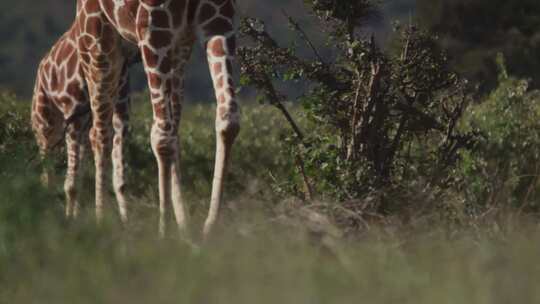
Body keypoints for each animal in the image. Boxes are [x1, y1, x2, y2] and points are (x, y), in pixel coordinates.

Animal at [31, 20, 135, 221]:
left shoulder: (120, 111)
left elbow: (119, 180)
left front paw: (126, 222)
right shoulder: (73, 115)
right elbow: (70, 185)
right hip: (44, 124)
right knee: (48, 173)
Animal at [74, 0, 240, 238]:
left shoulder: (219, 20)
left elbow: (229, 119)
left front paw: (210, 228)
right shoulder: (152, 27)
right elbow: (161, 137)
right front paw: (164, 233)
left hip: (179, 48)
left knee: (174, 130)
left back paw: (185, 225)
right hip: (97, 44)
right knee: (99, 134)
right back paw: (101, 221)